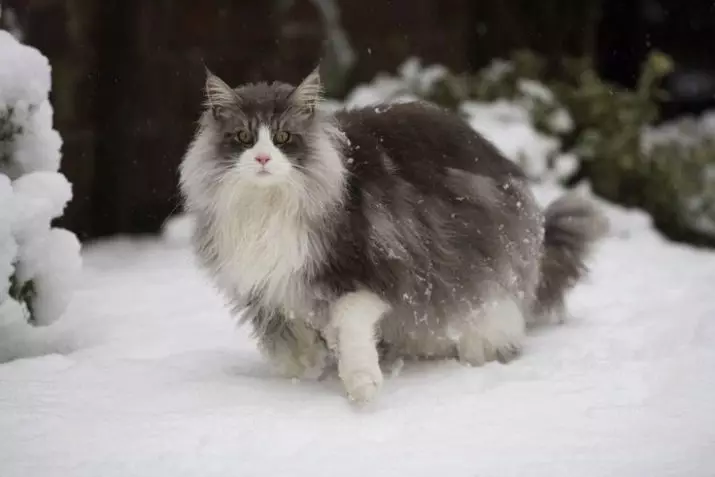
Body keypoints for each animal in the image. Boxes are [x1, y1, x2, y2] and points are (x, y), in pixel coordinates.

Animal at [179, 66, 608, 402]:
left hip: (477, 295)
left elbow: (350, 325)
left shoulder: (371, 275)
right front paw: (309, 369)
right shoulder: (269, 293)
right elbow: (290, 347)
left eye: (283, 138)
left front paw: (362, 384)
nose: (264, 158)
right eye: (243, 138)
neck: (267, 205)